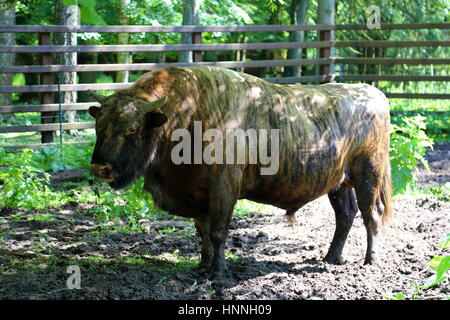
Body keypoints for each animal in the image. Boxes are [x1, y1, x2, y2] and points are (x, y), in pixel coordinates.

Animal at [87, 67, 390, 278]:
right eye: (98, 126)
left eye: (132, 129)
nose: (100, 168)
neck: (188, 114)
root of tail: (372, 93)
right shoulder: (198, 195)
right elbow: (203, 232)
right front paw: (203, 266)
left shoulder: (223, 191)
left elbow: (219, 232)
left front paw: (218, 272)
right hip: (339, 183)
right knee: (345, 215)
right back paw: (331, 258)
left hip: (368, 175)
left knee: (371, 215)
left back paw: (370, 261)